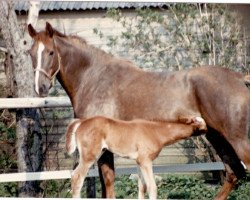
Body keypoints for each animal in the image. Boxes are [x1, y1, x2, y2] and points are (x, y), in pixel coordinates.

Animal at [65, 115, 206, 198]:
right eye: (201, 125)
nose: (207, 131)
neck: (156, 131)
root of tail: (81, 122)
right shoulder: (146, 161)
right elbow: (152, 187)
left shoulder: (139, 162)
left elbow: (142, 187)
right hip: (89, 156)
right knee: (77, 176)